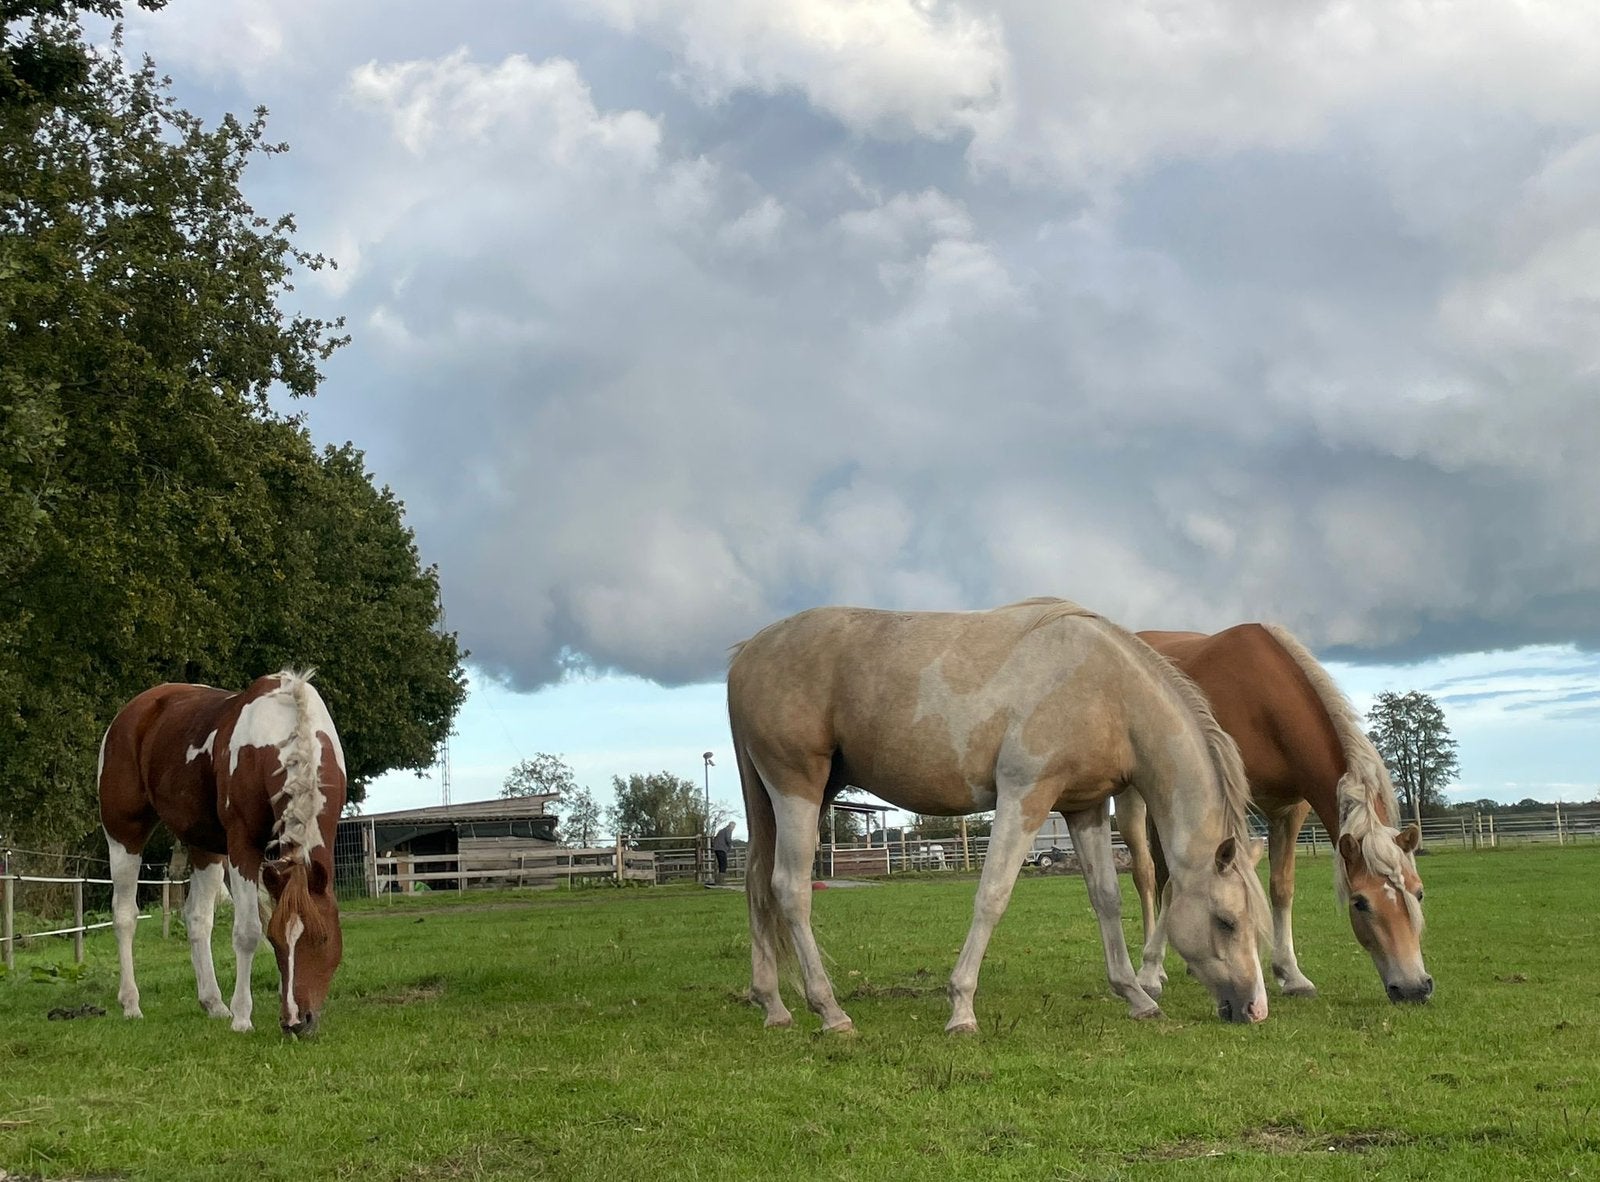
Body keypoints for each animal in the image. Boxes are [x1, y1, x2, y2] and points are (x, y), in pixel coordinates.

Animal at [98, 669, 347, 1035]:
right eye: (275, 941)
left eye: (324, 938)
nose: (296, 1021)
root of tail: (129, 715)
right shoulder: (243, 845)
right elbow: (247, 932)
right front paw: (243, 1017)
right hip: (124, 836)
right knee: (125, 915)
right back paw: (131, 1004)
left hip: (205, 846)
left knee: (198, 918)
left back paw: (213, 1002)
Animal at [727, 598, 1272, 1034]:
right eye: (1226, 921)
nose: (1255, 1009)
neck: (1106, 691)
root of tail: (747, 653)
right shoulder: (1024, 797)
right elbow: (992, 896)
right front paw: (961, 1008)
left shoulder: (1085, 807)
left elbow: (1106, 899)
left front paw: (1135, 996)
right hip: (797, 788)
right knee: (790, 889)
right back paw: (831, 1012)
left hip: (788, 797)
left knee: (756, 884)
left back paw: (773, 1006)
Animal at [1114, 623, 1431, 1004]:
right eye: (1360, 903)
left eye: (1418, 893)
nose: (1414, 988)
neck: (1265, 700)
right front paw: (1150, 972)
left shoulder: (1289, 811)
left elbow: (1281, 887)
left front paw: (1291, 975)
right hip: (1136, 799)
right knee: (1149, 875)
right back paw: (1152, 967)